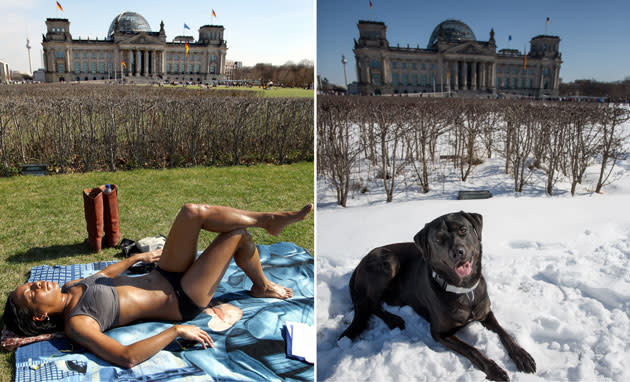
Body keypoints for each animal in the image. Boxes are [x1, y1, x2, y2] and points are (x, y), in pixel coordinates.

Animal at [340, 210, 540, 380]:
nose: (458, 252)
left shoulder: (485, 312)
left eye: (463, 230)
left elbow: (505, 333)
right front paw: (495, 369)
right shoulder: (439, 332)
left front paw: (522, 355)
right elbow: (472, 350)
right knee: (370, 305)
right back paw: (393, 319)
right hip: (388, 261)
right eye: (438, 239)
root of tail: (359, 263)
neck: (463, 289)